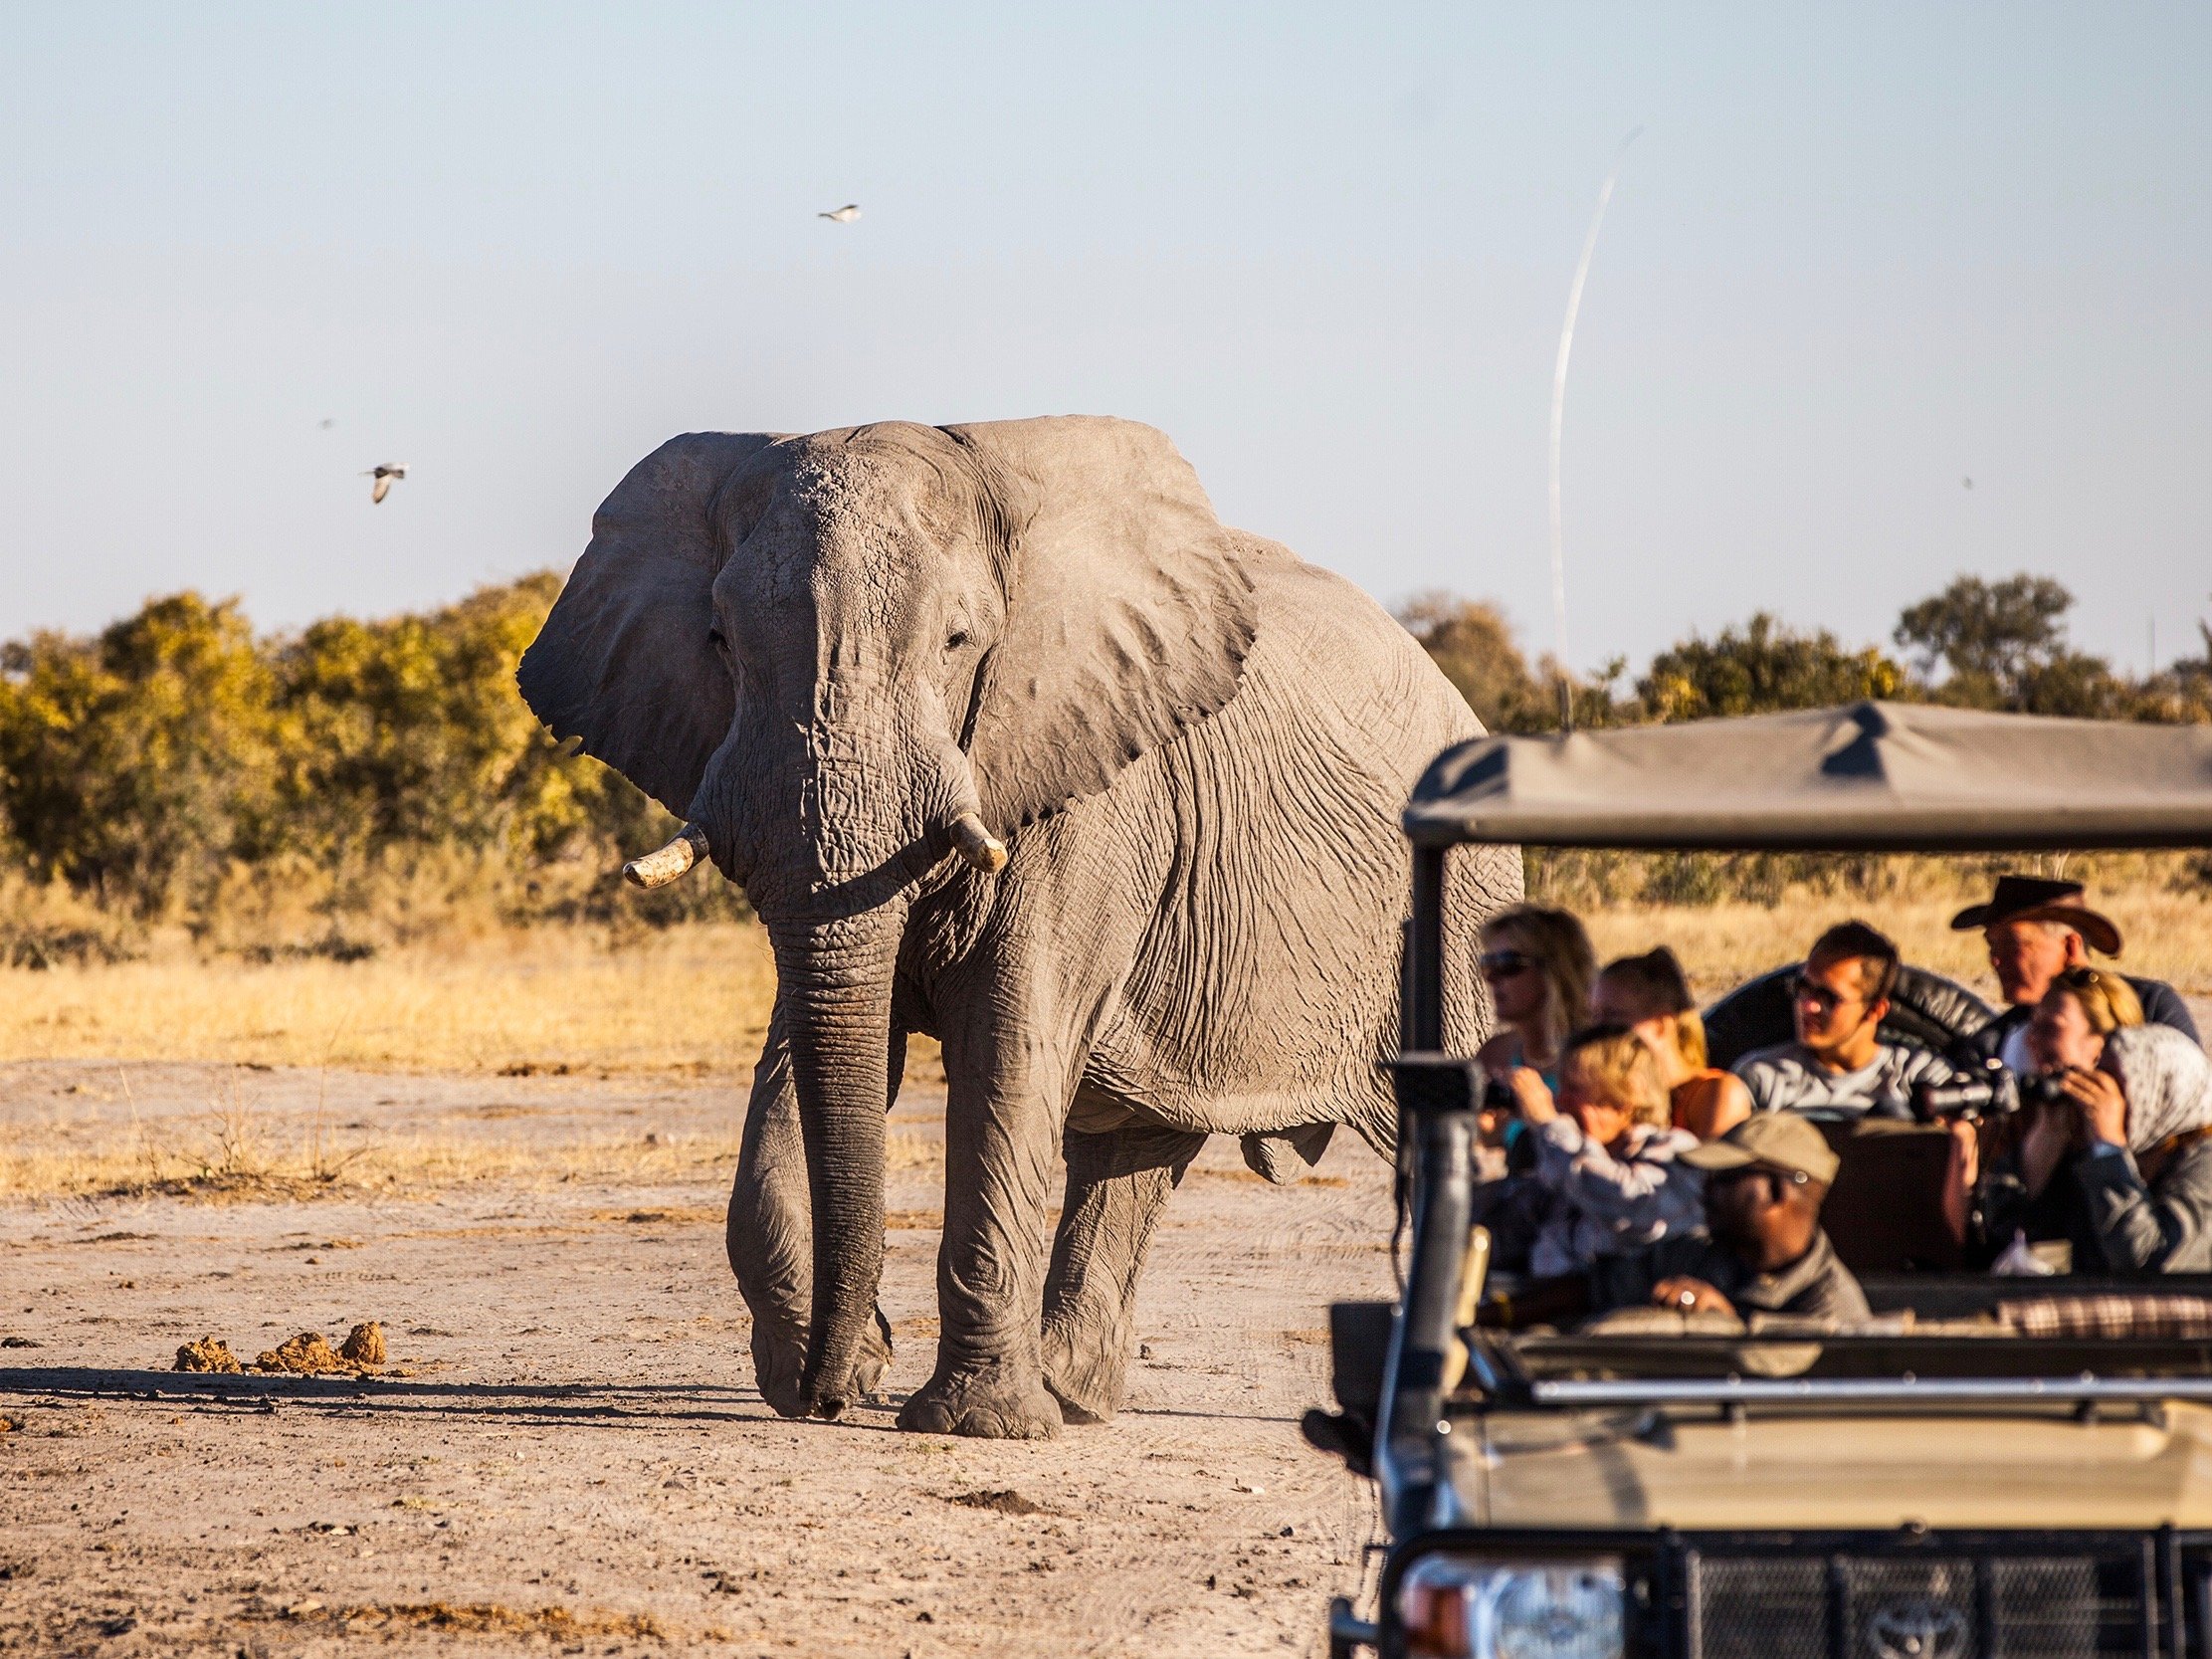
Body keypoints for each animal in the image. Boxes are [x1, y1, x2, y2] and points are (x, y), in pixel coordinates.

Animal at [519, 415, 1521, 1442]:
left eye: (958, 640)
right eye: (718, 640)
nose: (832, 1394)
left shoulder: (1086, 786)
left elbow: (1007, 1047)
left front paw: (973, 1424)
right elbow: (812, 1049)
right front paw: (845, 1376)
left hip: (1459, 905)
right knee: (1137, 1146)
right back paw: (1074, 1397)